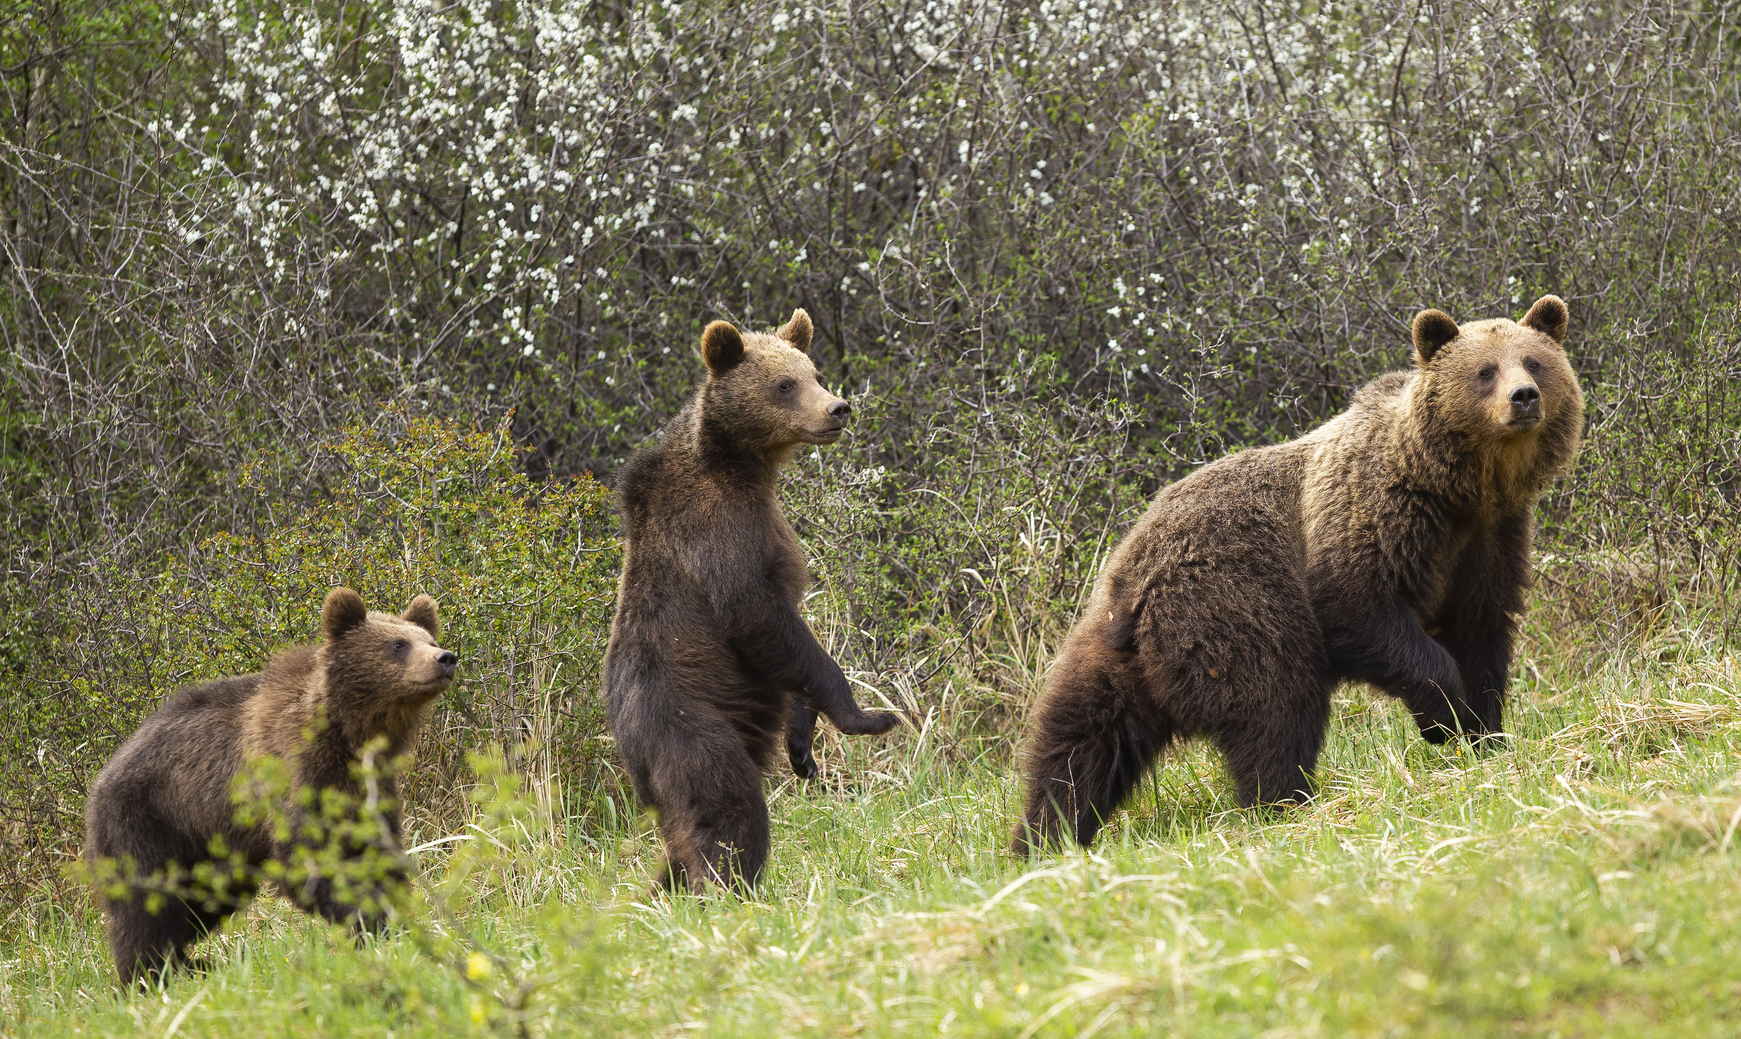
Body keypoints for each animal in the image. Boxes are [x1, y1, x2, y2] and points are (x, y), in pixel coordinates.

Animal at [84, 587, 456, 985]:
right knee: (144, 903)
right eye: (398, 644)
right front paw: (373, 921)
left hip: (208, 846)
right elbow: (311, 862)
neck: (347, 735)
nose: (445, 658)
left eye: (430, 640)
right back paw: (147, 973)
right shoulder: (294, 775)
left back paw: (187, 964)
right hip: (146, 820)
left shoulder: (364, 789)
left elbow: (374, 851)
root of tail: (102, 775)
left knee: (201, 900)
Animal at [604, 308, 899, 895]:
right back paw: (725, 887)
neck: (743, 466)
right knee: (726, 805)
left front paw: (803, 746)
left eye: (814, 372)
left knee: (683, 839)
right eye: (784, 384)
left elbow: (791, 643)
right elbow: (760, 617)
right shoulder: (716, 530)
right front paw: (868, 715)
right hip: (685, 724)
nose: (838, 408)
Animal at [1012, 295, 1583, 852]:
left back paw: (1044, 836)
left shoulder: (1490, 541)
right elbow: (1361, 608)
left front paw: (1484, 733)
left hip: (1107, 650)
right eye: (1485, 370)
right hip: (1234, 607)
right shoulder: (1371, 515)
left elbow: (1482, 632)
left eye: (1534, 361)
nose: (1524, 397)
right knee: (1277, 707)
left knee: (1079, 741)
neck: (1458, 487)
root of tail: (1136, 582)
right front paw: (1444, 716)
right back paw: (1286, 803)